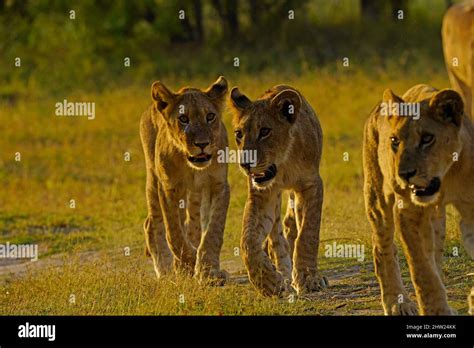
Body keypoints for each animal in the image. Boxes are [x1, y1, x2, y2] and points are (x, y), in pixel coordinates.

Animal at [140, 75, 231, 282]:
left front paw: (208, 269)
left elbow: (213, 230)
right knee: (153, 223)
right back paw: (165, 269)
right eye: (183, 119)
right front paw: (189, 262)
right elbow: (174, 233)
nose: (202, 144)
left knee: (193, 223)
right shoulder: (169, 188)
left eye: (210, 116)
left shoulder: (219, 185)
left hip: (194, 195)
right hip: (153, 179)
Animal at [229, 85, 326, 296]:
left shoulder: (312, 185)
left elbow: (307, 234)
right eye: (239, 134)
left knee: (291, 223)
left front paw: (308, 278)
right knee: (275, 234)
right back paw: (282, 269)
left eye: (265, 131)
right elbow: (248, 240)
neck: (284, 163)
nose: (246, 163)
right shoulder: (262, 194)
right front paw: (268, 282)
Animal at [362, 83, 474, 316]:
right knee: (383, 248)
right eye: (394, 141)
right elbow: (422, 270)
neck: (447, 175)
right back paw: (397, 303)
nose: (404, 174)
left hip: (436, 219)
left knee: (436, 253)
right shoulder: (409, 210)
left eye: (427, 138)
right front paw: (436, 311)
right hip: (377, 197)